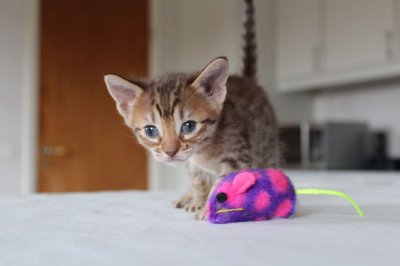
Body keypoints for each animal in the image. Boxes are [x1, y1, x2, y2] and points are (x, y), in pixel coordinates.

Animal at [104, 0, 280, 220]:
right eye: (151, 130)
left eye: (189, 126)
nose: (170, 152)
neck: (205, 151)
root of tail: (247, 81)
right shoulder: (192, 163)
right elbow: (199, 181)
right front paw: (198, 201)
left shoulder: (238, 156)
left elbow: (222, 183)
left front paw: (209, 208)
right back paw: (187, 197)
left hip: (266, 147)